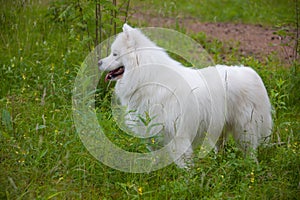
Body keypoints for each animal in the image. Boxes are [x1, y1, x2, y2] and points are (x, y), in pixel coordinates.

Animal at [98, 23, 272, 167]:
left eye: (114, 54)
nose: (99, 62)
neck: (148, 78)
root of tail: (250, 72)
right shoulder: (153, 134)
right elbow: (156, 158)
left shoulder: (178, 135)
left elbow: (184, 165)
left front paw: (186, 181)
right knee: (221, 148)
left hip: (245, 131)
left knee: (250, 153)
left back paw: (250, 169)